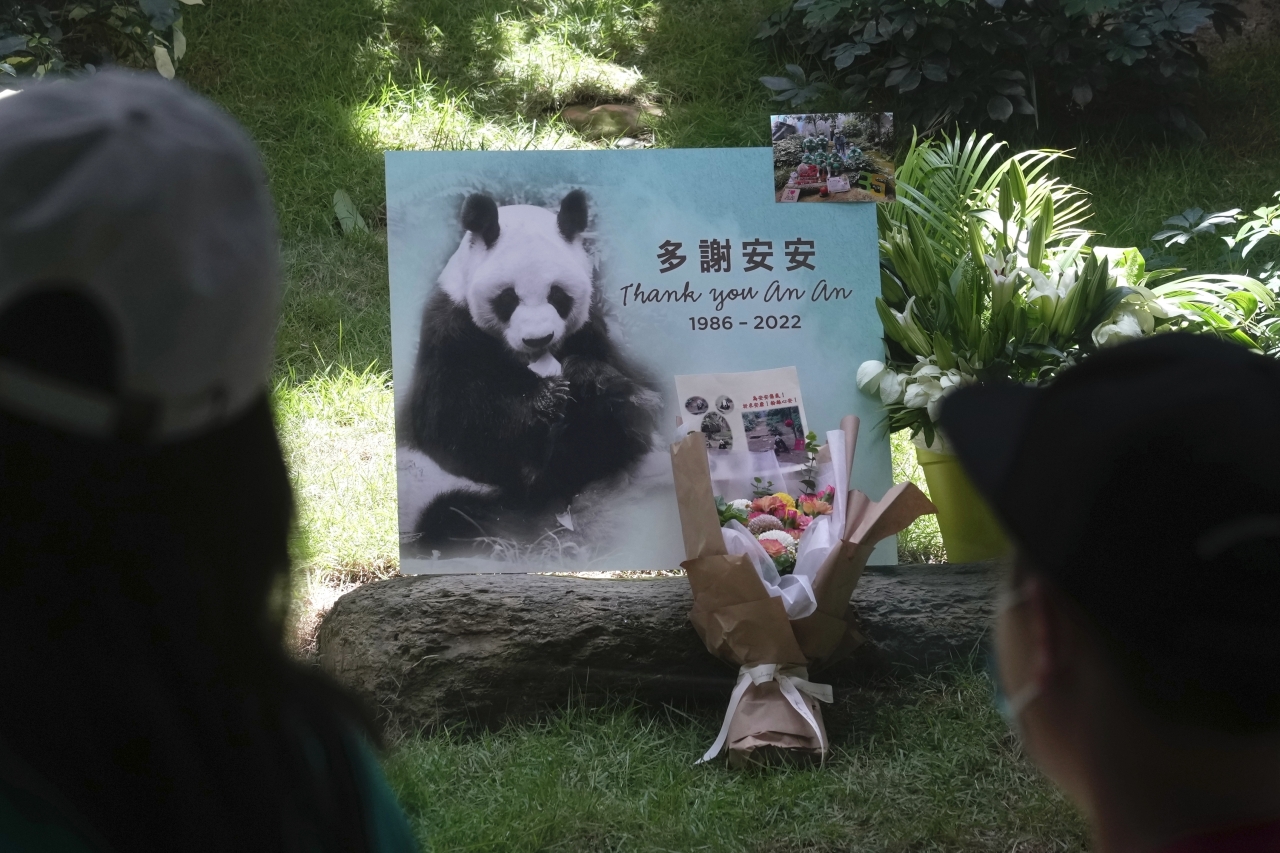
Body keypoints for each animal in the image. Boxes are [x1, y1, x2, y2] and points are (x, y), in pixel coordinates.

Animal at [404, 189, 660, 555]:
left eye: (557, 295)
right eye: (508, 298)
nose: (538, 339)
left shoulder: (592, 334)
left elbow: (629, 417)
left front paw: (589, 380)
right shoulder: (449, 333)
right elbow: (452, 424)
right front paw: (547, 399)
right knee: (455, 512)